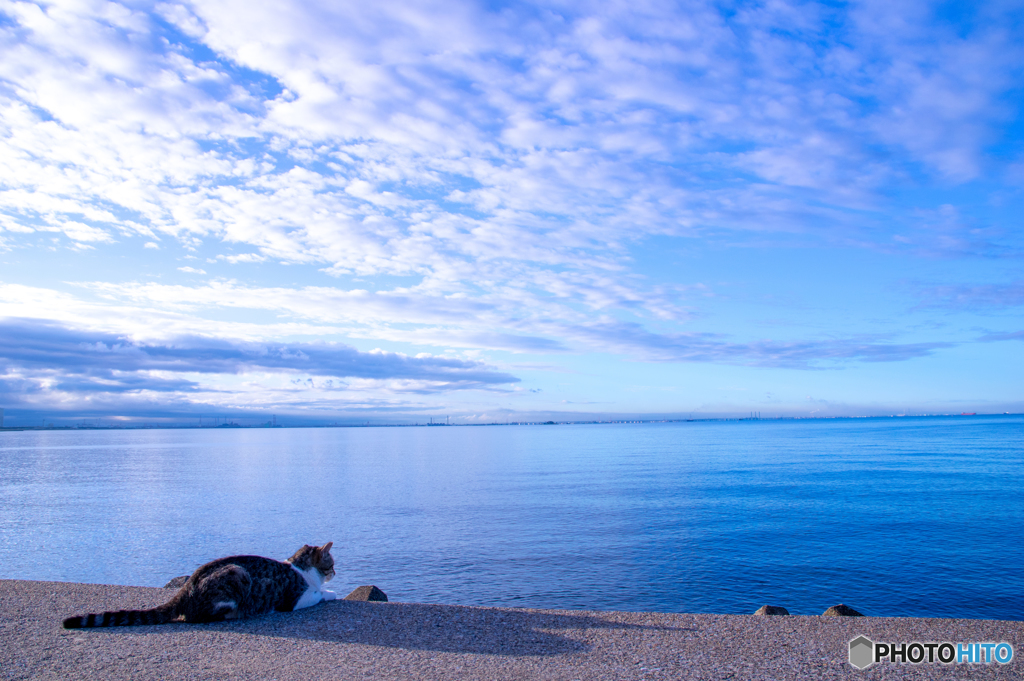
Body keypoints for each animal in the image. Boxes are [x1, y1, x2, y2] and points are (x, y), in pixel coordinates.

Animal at [61, 540, 337, 626]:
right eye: (331, 563)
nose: (335, 572)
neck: (301, 567)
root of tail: (184, 590)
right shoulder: (294, 599)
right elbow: (318, 594)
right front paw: (329, 592)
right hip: (237, 575)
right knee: (198, 616)